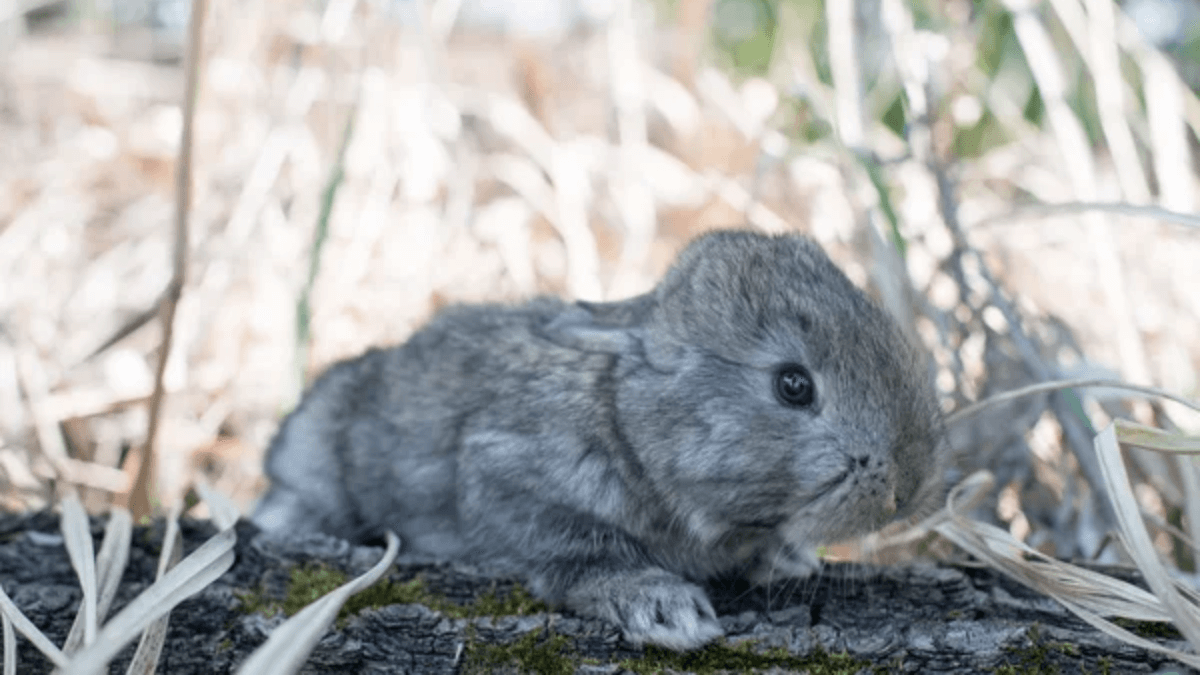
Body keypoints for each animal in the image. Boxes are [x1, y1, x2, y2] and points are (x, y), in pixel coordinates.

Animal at [253, 229, 945, 648]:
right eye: (793, 385)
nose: (908, 488)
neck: (630, 421)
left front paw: (787, 559)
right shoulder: (510, 480)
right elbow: (580, 553)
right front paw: (666, 610)